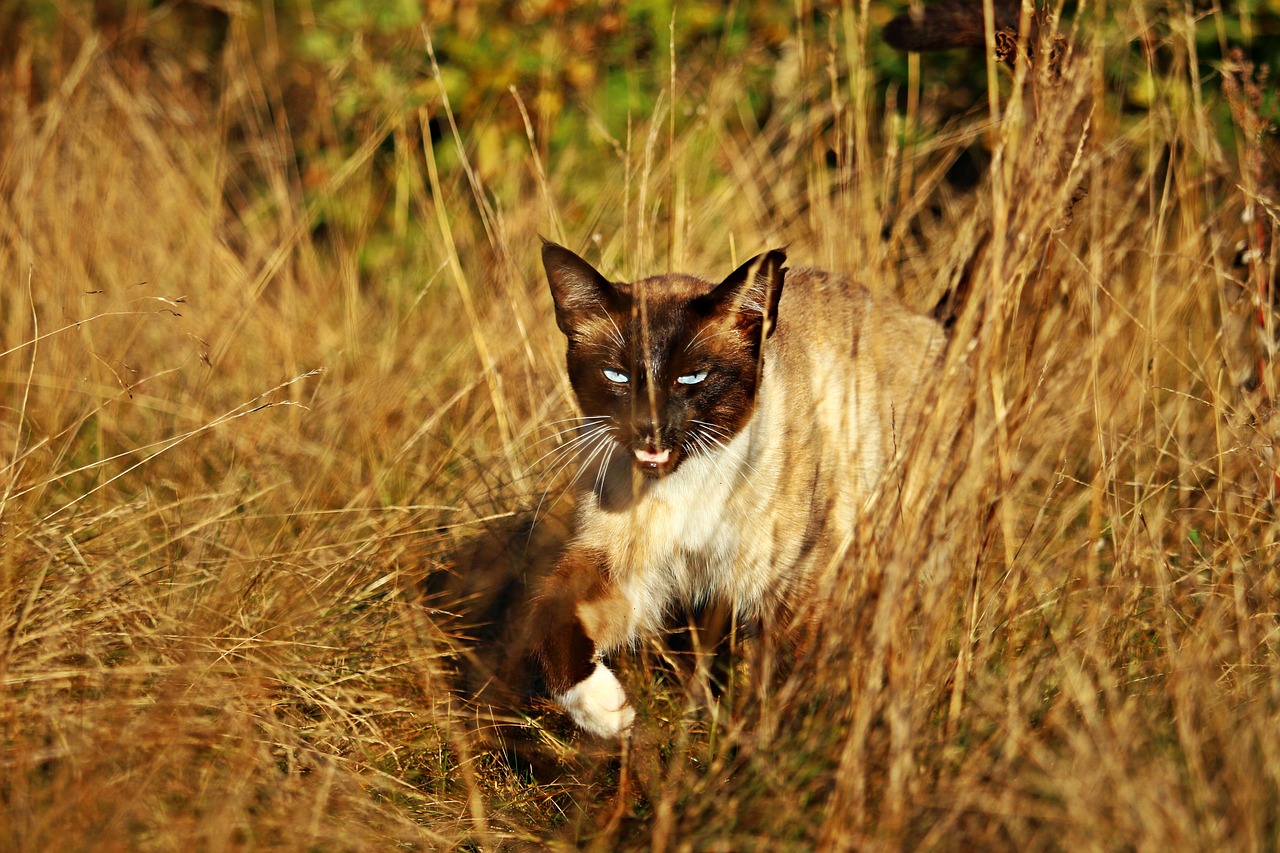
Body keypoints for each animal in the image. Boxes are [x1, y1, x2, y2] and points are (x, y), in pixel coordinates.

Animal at [529, 239, 952, 732]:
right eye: (617, 376)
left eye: (692, 377)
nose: (649, 427)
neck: (689, 485)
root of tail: (930, 323)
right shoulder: (626, 569)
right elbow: (549, 616)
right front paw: (606, 712)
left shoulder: (791, 586)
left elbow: (779, 694)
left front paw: (757, 750)